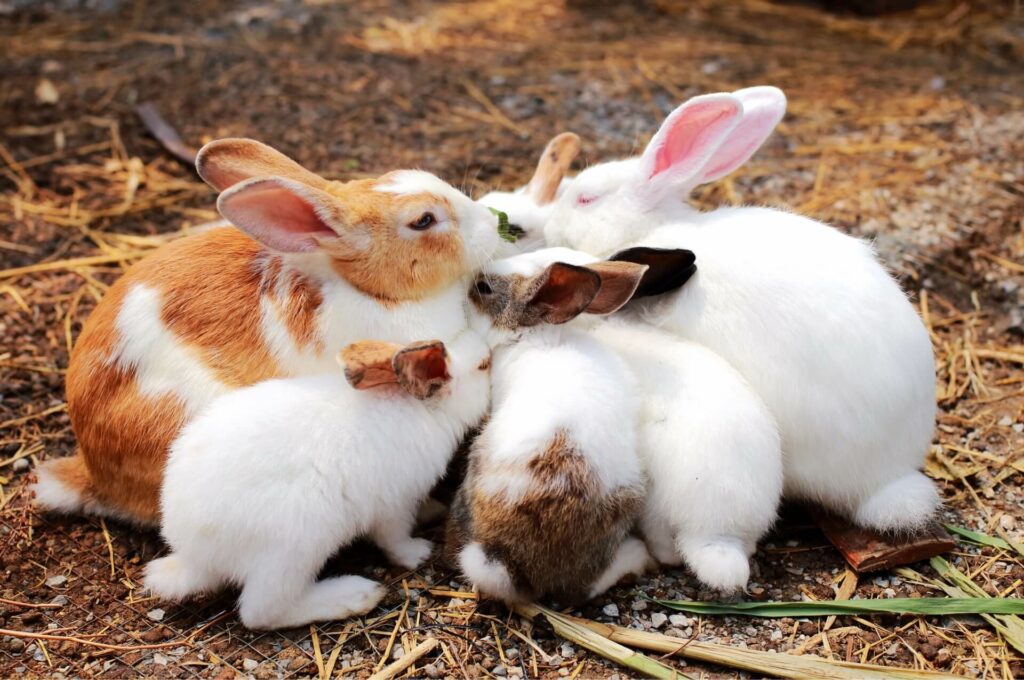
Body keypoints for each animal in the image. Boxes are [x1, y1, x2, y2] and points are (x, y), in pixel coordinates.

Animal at [144, 333, 491, 630]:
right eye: (483, 366)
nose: (489, 350)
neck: (423, 410)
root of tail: (194, 555)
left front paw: (432, 509)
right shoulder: (393, 504)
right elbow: (394, 539)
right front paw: (418, 553)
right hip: (295, 547)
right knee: (261, 612)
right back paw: (355, 596)